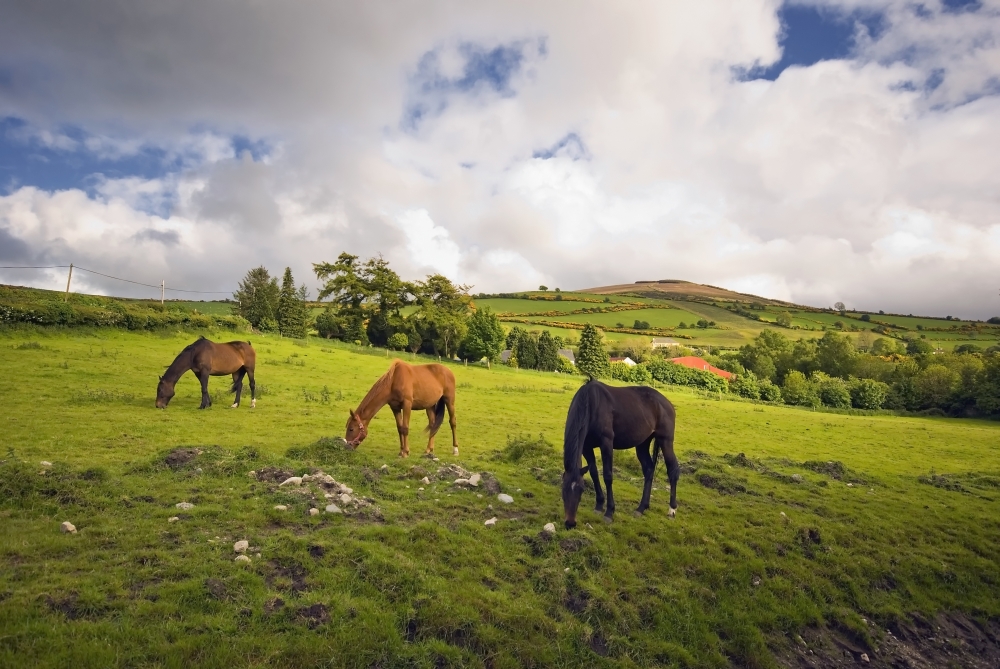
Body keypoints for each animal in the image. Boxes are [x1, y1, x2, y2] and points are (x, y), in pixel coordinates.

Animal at [561, 378, 679, 529]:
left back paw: (672, 509)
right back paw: (641, 508)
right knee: (649, 470)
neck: (591, 404)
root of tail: (667, 403)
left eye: (581, 489)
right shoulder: (586, 447)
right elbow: (594, 473)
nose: (570, 523)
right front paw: (599, 505)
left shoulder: (606, 443)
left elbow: (608, 476)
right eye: (563, 489)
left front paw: (609, 512)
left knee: (673, 470)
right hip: (643, 443)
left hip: (665, 440)